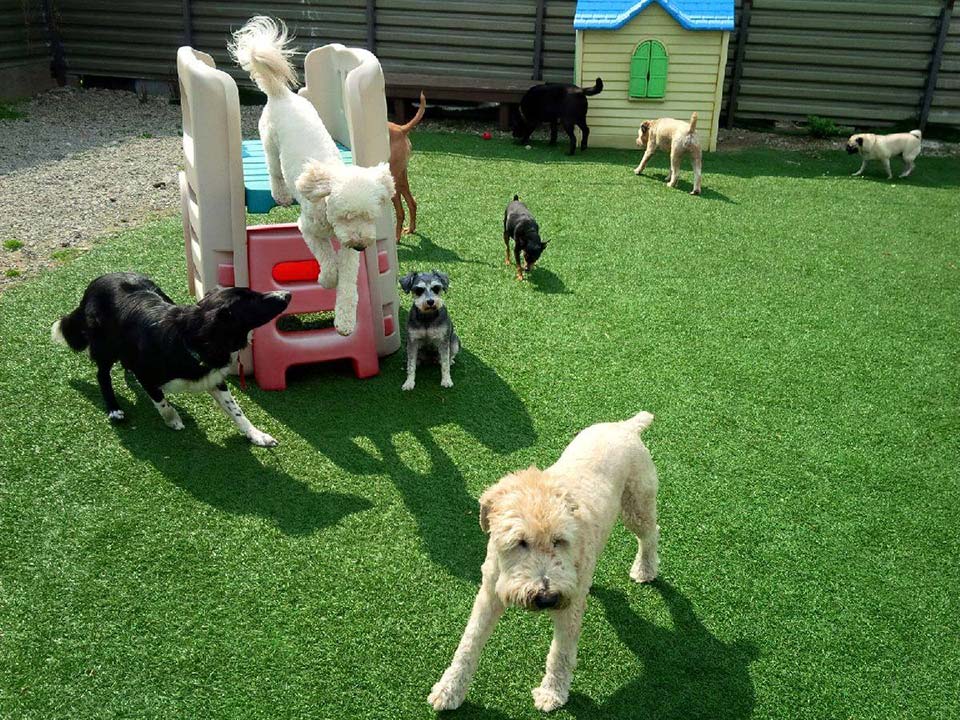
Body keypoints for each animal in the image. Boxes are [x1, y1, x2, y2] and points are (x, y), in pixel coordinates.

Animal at [51, 274, 288, 448]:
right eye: (253, 300)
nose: (287, 294)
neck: (191, 340)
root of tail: (96, 282)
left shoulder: (213, 376)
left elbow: (237, 411)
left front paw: (256, 435)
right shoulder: (147, 375)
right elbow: (161, 401)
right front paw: (172, 419)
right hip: (105, 347)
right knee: (102, 375)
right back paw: (114, 409)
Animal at [229, 16, 394, 338]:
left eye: (369, 216)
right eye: (345, 216)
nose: (361, 245)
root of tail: (282, 95)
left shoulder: (349, 246)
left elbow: (348, 283)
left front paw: (345, 320)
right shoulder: (307, 227)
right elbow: (327, 260)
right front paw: (326, 279)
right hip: (269, 141)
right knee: (273, 168)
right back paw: (280, 192)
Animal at [388, 93, 426, 242]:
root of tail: (401, 129)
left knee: (401, 212)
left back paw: (396, 239)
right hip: (401, 179)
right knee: (412, 203)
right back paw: (410, 229)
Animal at [430, 414, 660, 712]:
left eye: (559, 540)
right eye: (519, 542)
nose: (547, 597)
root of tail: (625, 426)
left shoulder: (568, 610)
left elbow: (560, 653)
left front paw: (553, 693)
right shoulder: (489, 593)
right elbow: (468, 643)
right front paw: (449, 689)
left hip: (637, 507)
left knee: (651, 534)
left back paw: (645, 569)